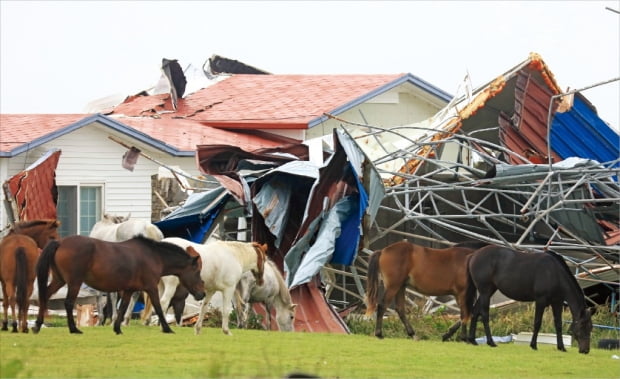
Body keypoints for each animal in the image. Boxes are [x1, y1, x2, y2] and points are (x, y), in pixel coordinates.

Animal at [32, 236, 206, 336]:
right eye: (197, 271)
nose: (202, 294)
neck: (154, 256)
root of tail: (61, 242)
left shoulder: (129, 290)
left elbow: (122, 308)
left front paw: (117, 328)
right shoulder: (151, 287)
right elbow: (157, 307)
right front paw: (167, 329)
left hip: (59, 280)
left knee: (45, 295)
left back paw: (37, 326)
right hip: (74, 282)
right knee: (68, 303)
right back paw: (74, 329)